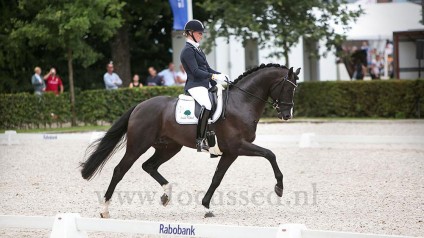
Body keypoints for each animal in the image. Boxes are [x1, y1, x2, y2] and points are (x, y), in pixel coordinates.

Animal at [81, 63, 300, 218]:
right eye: (288, 89)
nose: (287, 115)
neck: (241, 103)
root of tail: (139, 106)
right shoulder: (238, 146)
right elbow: (270, 154)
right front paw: (279, 188)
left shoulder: (231, 152)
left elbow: (217, 177)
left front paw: (206, 206)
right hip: (138, 146)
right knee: (120, 170)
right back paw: (105, 209)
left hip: (169, 147)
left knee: (149, 166)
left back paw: (166, 195)